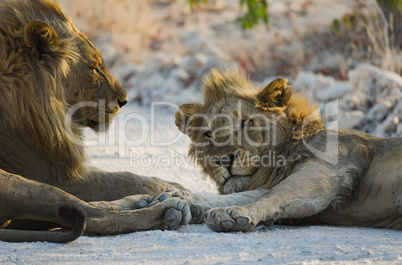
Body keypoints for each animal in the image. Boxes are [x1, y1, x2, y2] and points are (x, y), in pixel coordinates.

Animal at [0, 0, 192, 241]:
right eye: (94, 68)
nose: (124, 100)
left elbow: (115, 175)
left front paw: (172, 185)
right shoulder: (51, 175)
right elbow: (120, 179)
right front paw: (177, 189)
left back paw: (140, 201)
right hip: (18, 181)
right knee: (93, 216)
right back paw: (167, 210)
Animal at [175, 68, 402, 231]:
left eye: (246, 123)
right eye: (208, 134)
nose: (223, 160)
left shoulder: (328, 170)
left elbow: (274, 194)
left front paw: (233, 213)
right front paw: (180, 201)